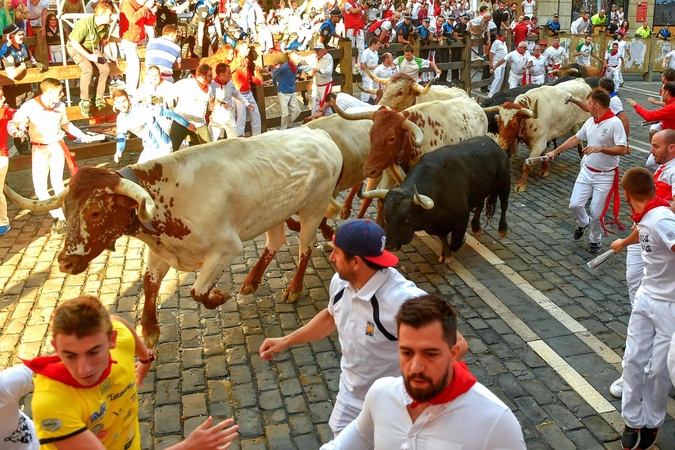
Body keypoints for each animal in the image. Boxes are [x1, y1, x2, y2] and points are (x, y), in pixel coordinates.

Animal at [2, 128, 344, 346]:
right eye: (66, 208)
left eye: (96, 213)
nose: (65, 262)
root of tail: (321, 135)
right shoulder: (160, 252)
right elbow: (149, 284)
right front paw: (150, 329)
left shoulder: (226, 249)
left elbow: (197, 291)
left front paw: (218, 297)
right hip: (272, 212)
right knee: (275, 242)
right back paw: (251, 281)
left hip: (312, 208)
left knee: (305, 247)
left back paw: (293, 288)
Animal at [362, 137, 510, 264]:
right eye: (386, 215)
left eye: (408, 219)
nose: (389, 245)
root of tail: (494, 143)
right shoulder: (436, 226)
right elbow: (443, 239)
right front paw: (445, 254)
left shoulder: (461, 219)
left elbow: (455, 243)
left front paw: (457, 245)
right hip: (481, 189)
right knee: (480, 205)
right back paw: (476, 227)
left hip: (504, 184)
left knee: (504, 204)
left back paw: (502, 230)